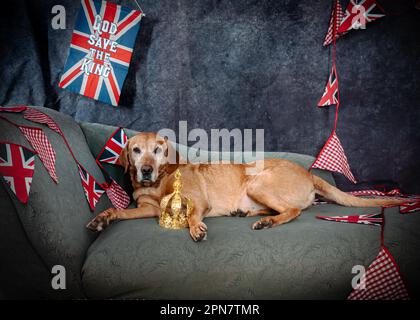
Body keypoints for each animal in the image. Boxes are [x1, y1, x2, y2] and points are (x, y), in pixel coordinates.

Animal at [87, 132, 406, 240]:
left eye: (158, 149)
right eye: (136, 150)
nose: (145, 170)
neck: (159, 181)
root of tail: (309, 173)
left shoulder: (197, 202)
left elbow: (192, 215)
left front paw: (196, 227)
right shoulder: (148, 209)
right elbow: (120, 212)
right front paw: (103, 217)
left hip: (258, 183)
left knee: (292, 211)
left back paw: (267, 222)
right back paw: (251, 215)